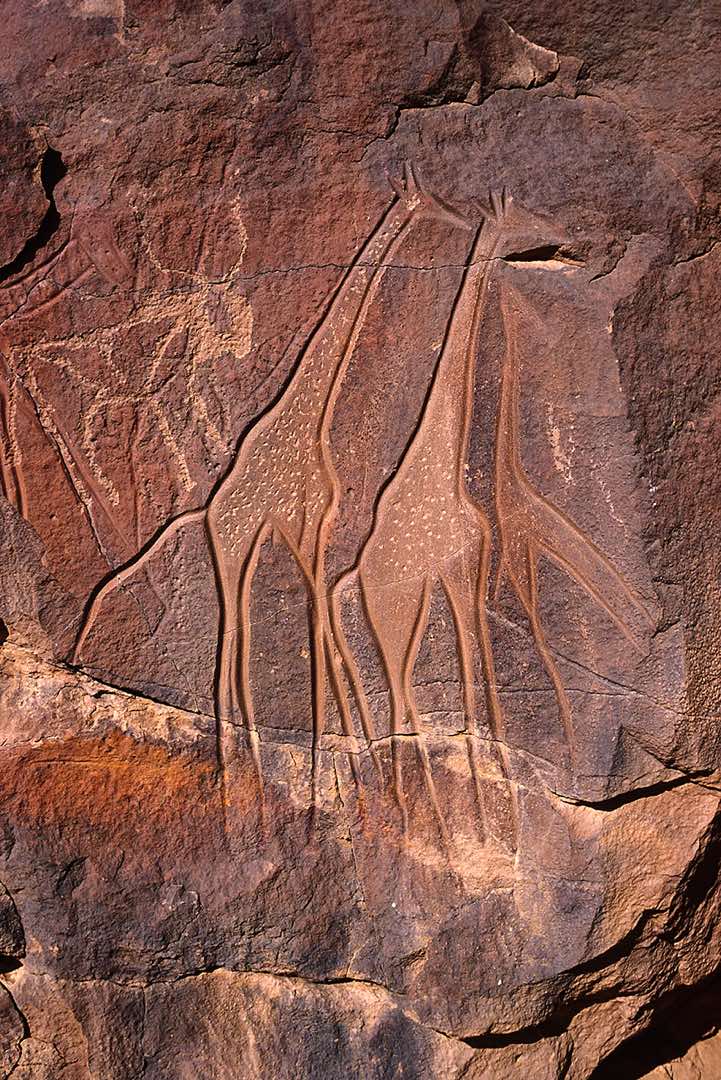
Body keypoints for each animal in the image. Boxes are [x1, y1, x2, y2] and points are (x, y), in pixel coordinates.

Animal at [72, 164, 470, 814]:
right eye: (428, 200)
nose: (461, 217)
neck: (308, 415)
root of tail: (207, 512)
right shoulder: (306, 526)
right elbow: (315, 622)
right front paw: (333, 771)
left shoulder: (314, 528)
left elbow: (319, 623)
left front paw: (349, 767)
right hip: (235, 544)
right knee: (232, 638)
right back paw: (242, 767)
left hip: (241, 546)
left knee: (232, 637)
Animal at [329, 190, 568, 844]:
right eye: (524, 220)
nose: (561, 241)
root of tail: (357, 580)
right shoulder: (462, 570)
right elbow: (474, 664)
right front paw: (497, 802)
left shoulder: (469, 569)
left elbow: (475, 666)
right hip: (398, 612)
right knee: (399, 692)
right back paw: (418, 809)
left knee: (396, 691)